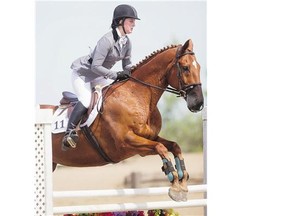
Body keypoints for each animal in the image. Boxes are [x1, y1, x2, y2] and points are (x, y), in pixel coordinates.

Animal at [41, 38, 204, 201]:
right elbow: (161, 148)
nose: (198, 103)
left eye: (199, 67)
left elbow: (174, 146)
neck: (136, 95)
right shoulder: (125, 143)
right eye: (185, 68)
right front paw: (175, 184)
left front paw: (182, 182)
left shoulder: (149, 138)